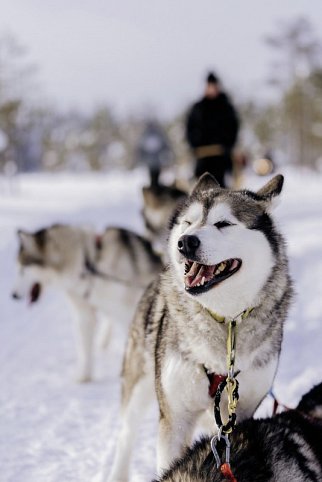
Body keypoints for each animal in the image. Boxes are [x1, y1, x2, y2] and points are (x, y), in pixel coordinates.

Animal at [11, 224, 162, 382]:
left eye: (22, 269)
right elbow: (84, 348)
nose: (13, 295)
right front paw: (84, 376)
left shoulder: (126, 312)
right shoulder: (84, 314)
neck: (88, 262)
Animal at [108, 172, 292, 478]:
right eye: (188, 222)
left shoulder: (242, 413)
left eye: (223, 223)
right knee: (125, 437)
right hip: (138, 385)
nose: (185, 242)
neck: (224, 321)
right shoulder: (174, 419)